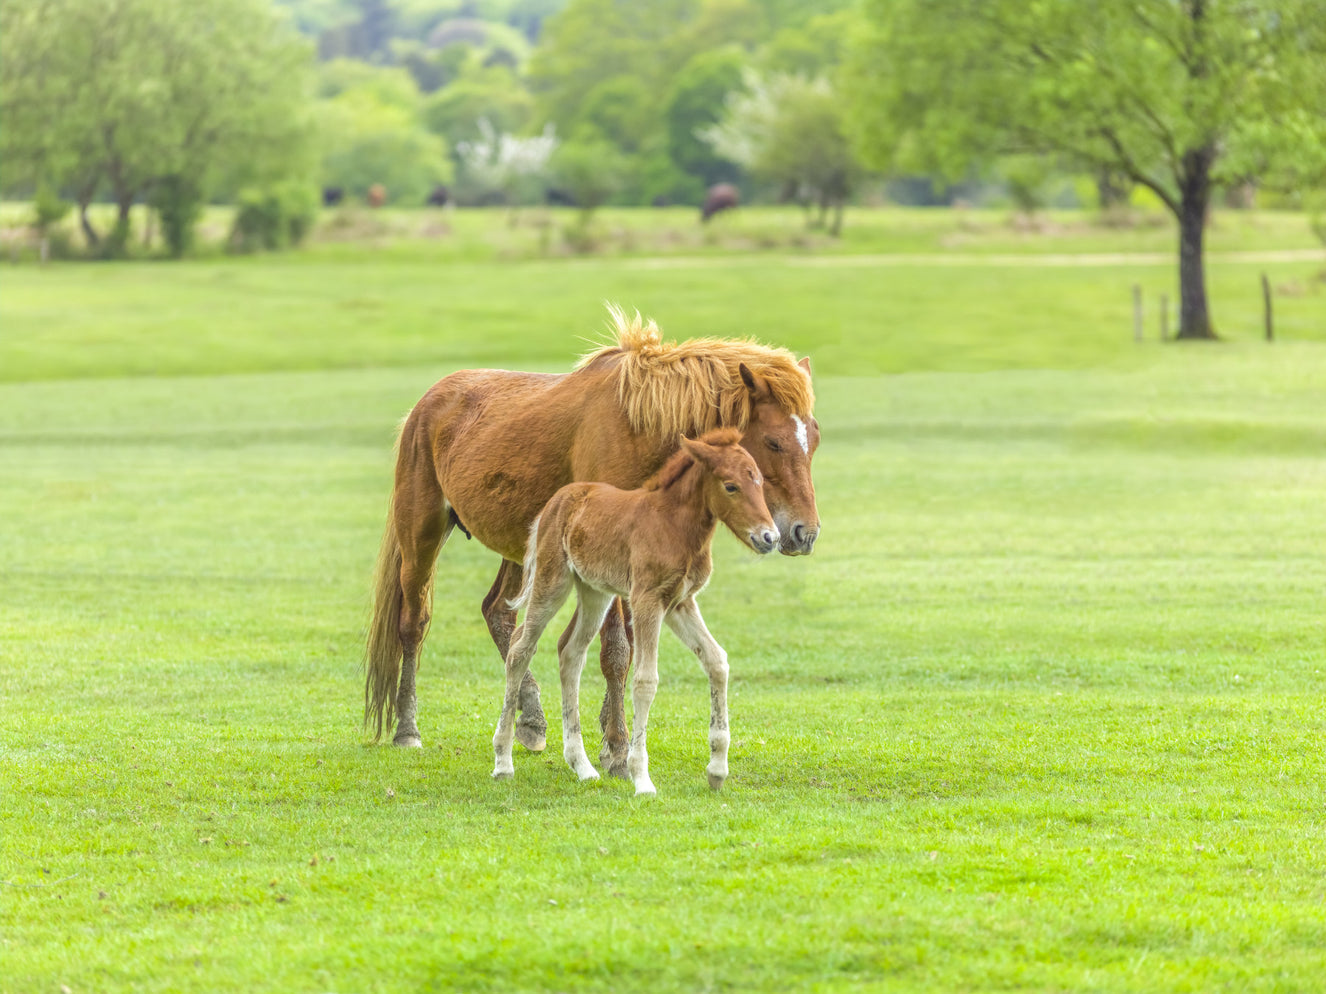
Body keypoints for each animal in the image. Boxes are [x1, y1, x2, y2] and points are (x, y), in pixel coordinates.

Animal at [493, 428, 777, 795]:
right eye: (731, 486)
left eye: (759, 480)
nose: (770, 537)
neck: (674, 525)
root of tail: (557, 500)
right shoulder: (646, 600)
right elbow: (645, 679)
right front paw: (641, 778)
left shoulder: (680, 603)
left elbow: (717, 661)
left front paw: (717, 770)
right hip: (552, 581)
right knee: (521, 648)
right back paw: (503, 762)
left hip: (595, 592)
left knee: (570, 652)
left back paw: (582, 766)